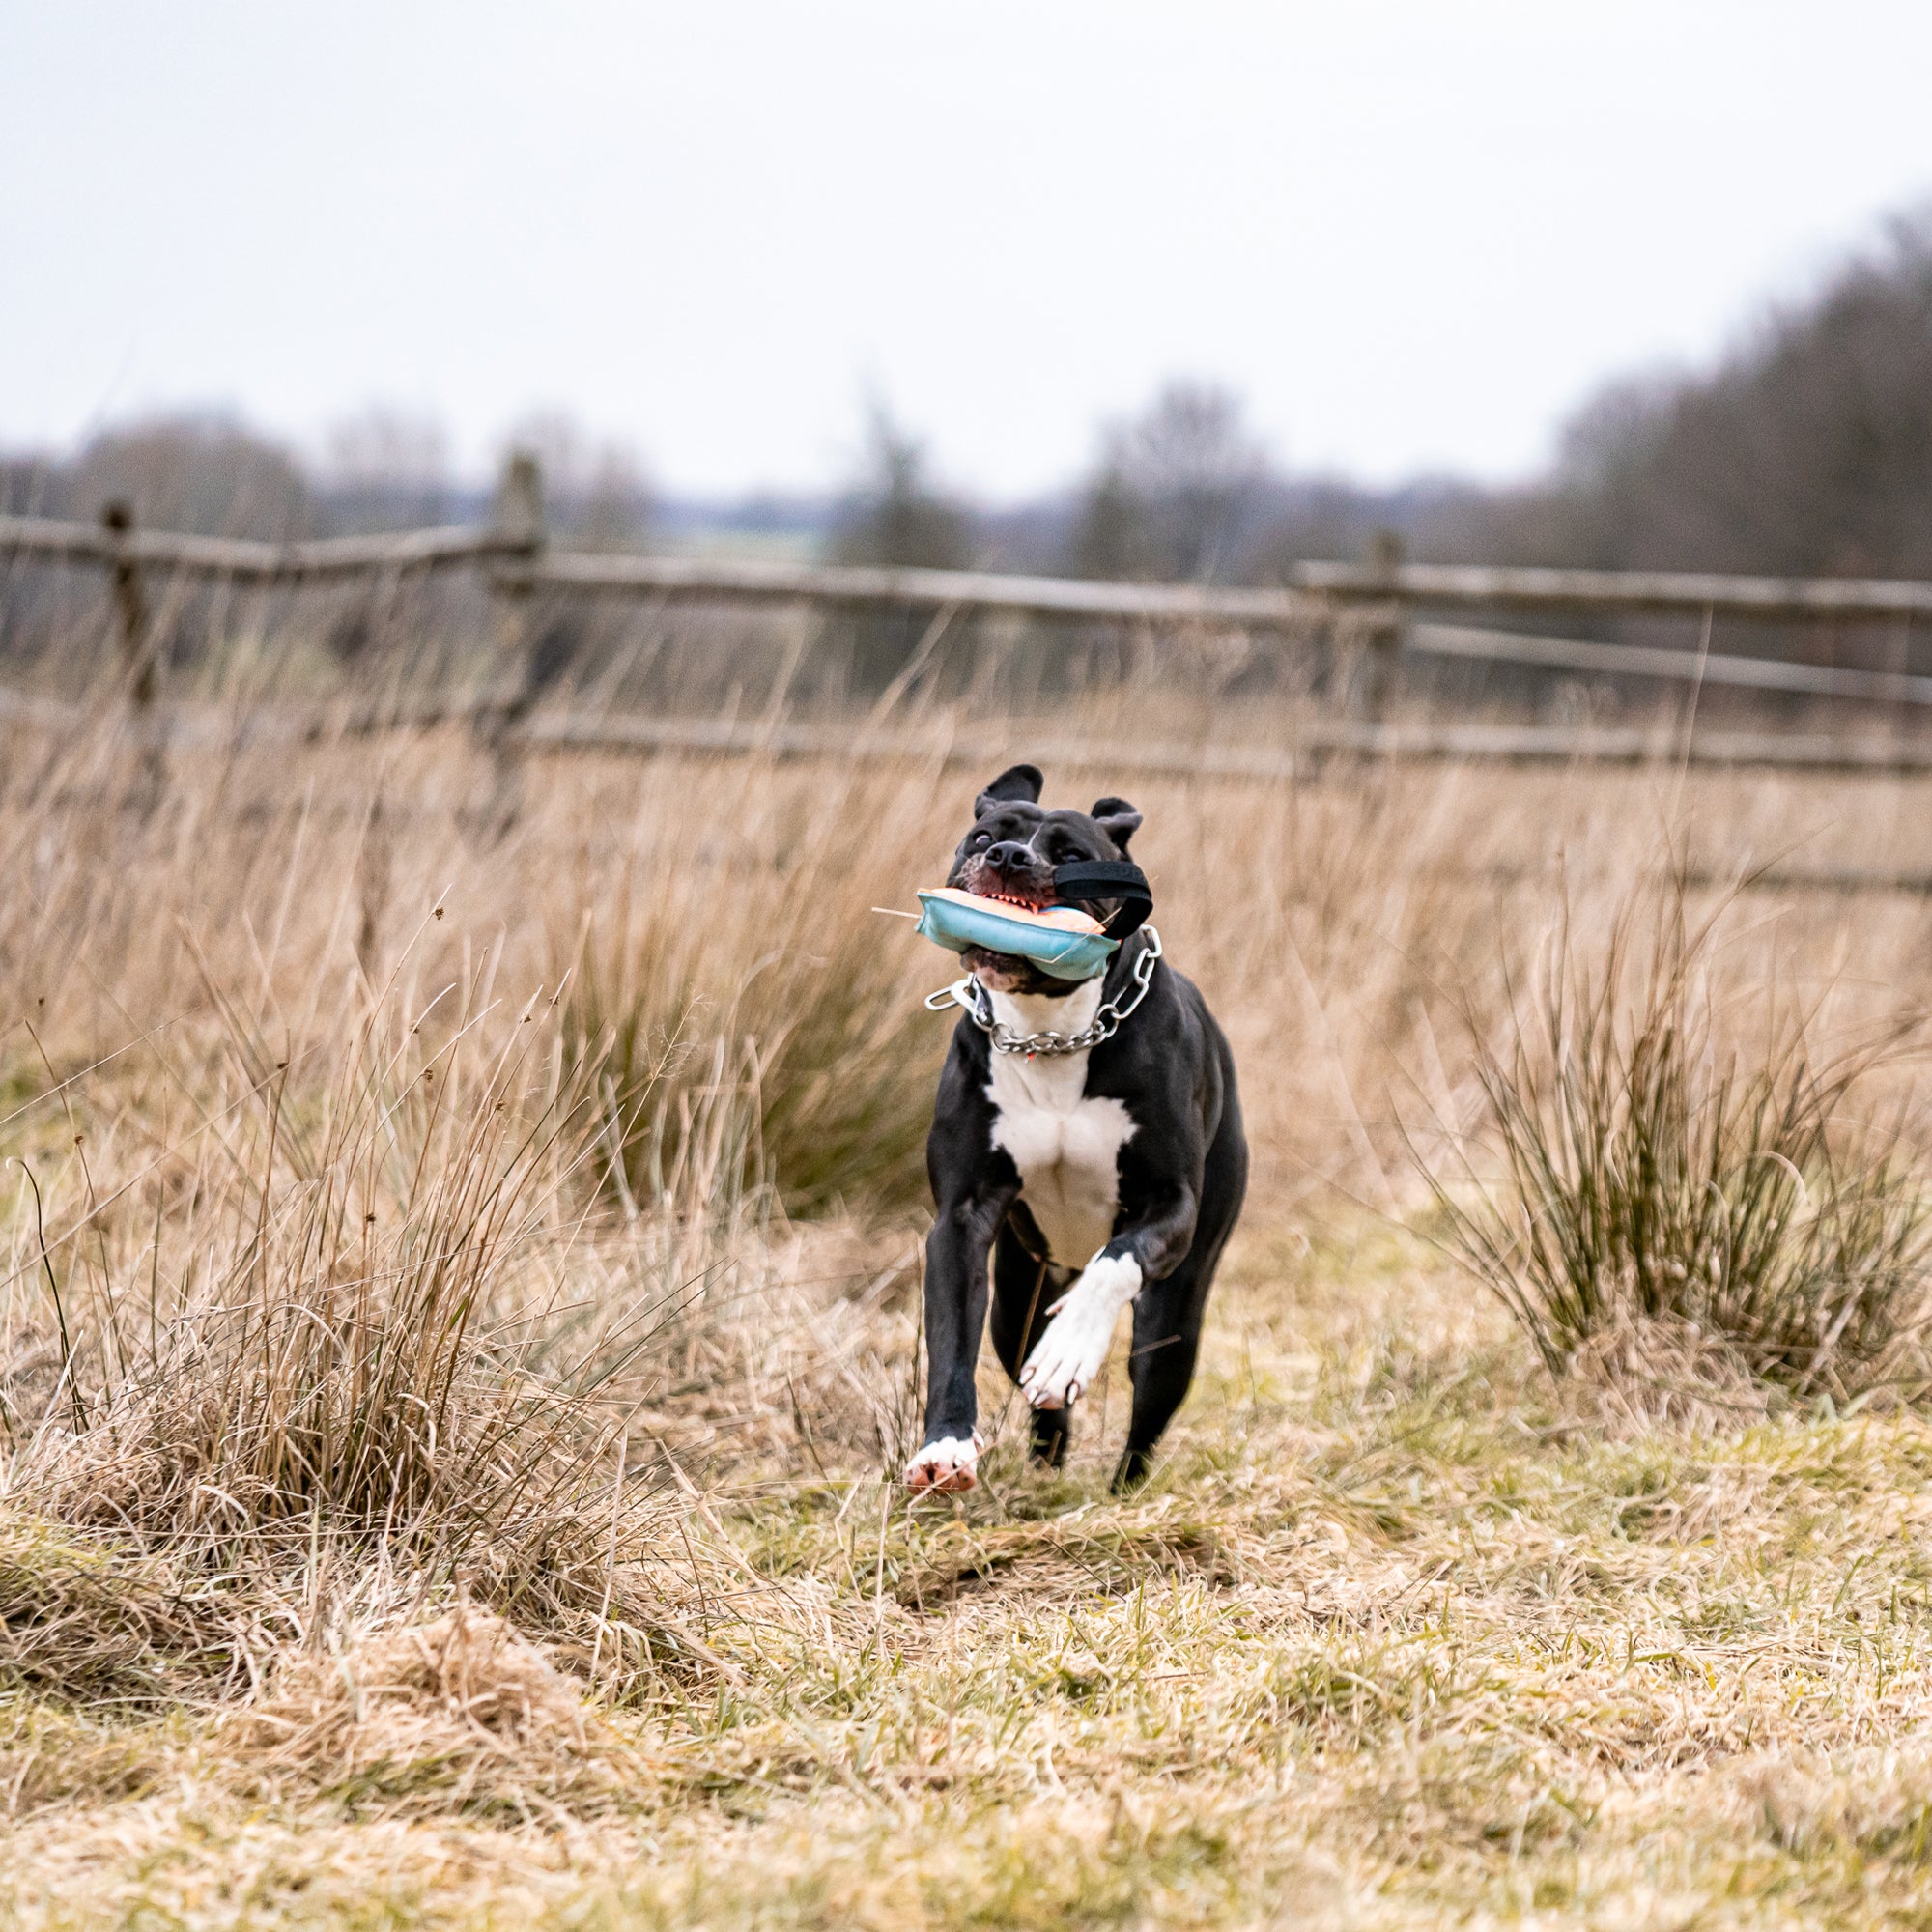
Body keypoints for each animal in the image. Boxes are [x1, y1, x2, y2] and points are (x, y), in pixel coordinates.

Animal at [908, 757, 1252, 1492]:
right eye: (984, 837)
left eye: (1070, 856)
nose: (1010, 856)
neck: (1053, 1033)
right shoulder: (962, 1217)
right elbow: (950, 1338)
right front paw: (944, 1446)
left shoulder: (1171, 1205)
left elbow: (1117, 1262)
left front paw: (1069, 1350)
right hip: (1017, 1297)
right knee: (1033, 1381)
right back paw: (1046, 1464)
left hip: (1178, 1314)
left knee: (1148, 1397)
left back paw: (1124, 1488)